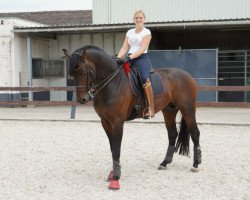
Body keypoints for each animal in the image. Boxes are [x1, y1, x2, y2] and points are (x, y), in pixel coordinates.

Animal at [62, 46, 201, 190]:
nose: (82, 99)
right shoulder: (105, 122)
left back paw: (196, 164)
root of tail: (187, 75)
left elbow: (116, 149)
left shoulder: (117, 123)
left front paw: (116, 178)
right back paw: (164, 163)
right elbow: (112, 148)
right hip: (169, 110)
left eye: (84, 71)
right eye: (72, 74)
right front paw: (113, 173)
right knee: (172, 134)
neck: (112, 83)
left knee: (195, 133)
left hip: (188, 109)